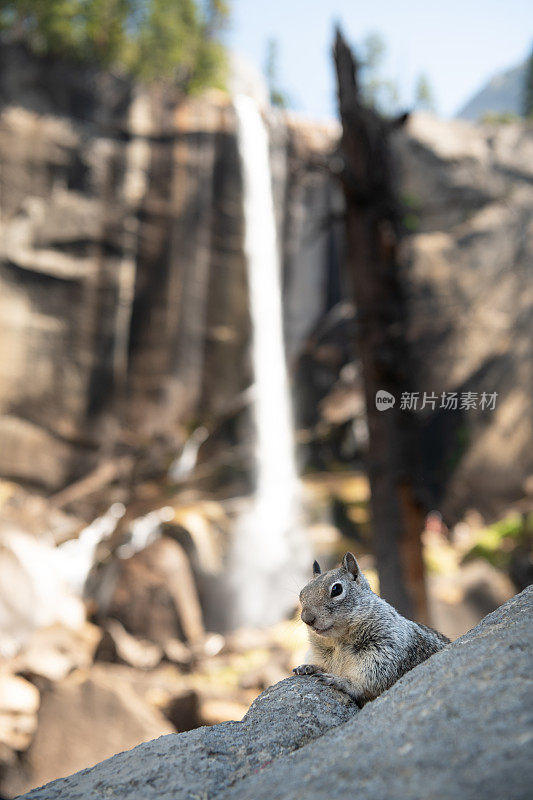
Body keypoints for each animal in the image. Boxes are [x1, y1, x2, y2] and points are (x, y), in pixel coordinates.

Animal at [290, 552, 448, 708]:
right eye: (301, 594)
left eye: (336, 589)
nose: (307, 618)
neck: (338, 641)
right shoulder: (319, 653)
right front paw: (307, 667)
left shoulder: (385, 648)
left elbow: (371, 679)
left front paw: (340, 681)